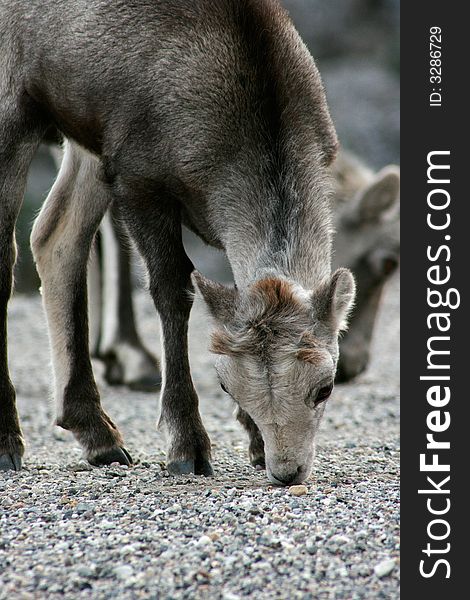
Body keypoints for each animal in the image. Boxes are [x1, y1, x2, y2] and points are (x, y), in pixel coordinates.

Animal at [0, 0, 354, 486]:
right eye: (224, 384)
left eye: (325, 387)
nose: (287, 470)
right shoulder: (138, 181)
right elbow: (172, 291)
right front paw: (188, 447)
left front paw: (252, 443)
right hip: (15, 111)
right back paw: (8, 443)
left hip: (84, 140)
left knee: (54, 235)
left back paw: (99, 436)